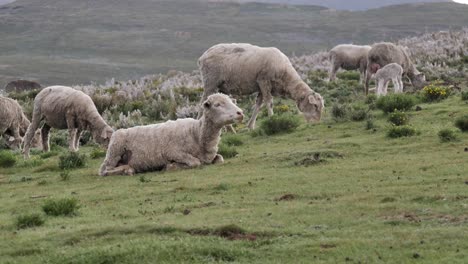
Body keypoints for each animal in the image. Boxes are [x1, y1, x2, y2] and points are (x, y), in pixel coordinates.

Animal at [98, 94, 241, 176]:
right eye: (217, 104)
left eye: (233, 102)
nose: (240, 113)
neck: (196, 133)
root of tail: (117, 131)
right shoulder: (173, 152)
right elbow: (195, 162)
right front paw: (171, 166)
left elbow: (220, 159)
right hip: (114, 152)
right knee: (103, 170)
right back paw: (127, 170)